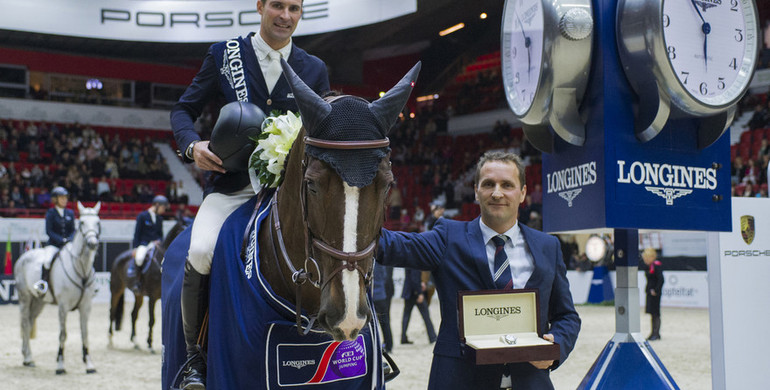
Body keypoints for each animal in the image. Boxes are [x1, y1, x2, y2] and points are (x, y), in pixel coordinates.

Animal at [14, 203, 102, 374]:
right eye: (81, 222)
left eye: (97, 222)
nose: (93, 244)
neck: (81, 269)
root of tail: (23, 256)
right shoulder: (63, 307)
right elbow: (63, 334)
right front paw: (60, 365)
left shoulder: (86, 307)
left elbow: (85, 334)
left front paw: (89, 364)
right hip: (25, 298)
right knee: (25, 323)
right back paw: (28, 358)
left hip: (39, 302)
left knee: (30, 321)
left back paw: (28, 358)